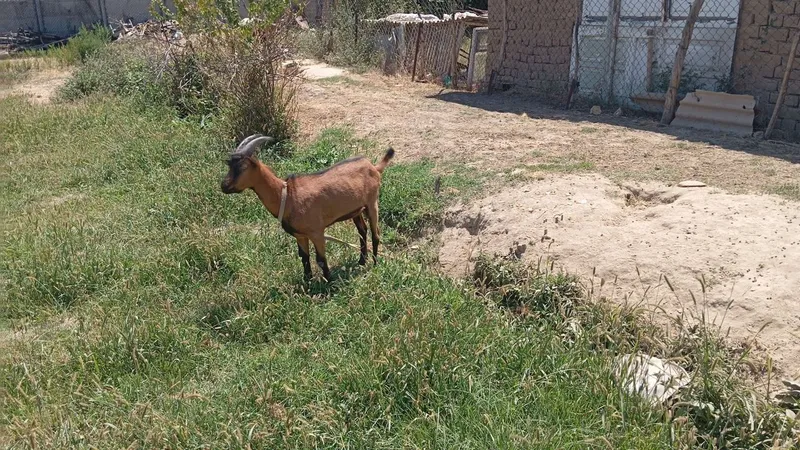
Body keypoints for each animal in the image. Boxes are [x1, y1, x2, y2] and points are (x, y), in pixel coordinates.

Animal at [220, 134, 395, 280]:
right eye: (229, 165)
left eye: (243, 167)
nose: (224, 186)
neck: (287, 196)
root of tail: (373, 167)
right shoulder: (300, 235)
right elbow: (304, 257)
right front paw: (308, 281)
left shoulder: (316, 232)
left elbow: (321, 259)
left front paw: (329, 282)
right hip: (355, 210)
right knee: (362, 231)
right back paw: (361, 261)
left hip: (372, 203)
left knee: (375, 233)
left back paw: (375, 263)